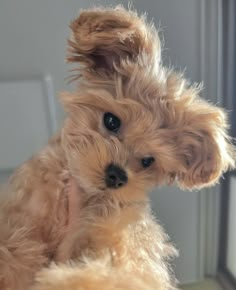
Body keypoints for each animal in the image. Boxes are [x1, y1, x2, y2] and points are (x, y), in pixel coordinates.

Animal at [0, 5, 234, 290]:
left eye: (148, 161)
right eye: (111, 121)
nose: (117, 176)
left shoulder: (123, 233)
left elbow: (122, 268)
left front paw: (81, 280)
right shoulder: (18, 221)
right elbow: (13, 255)